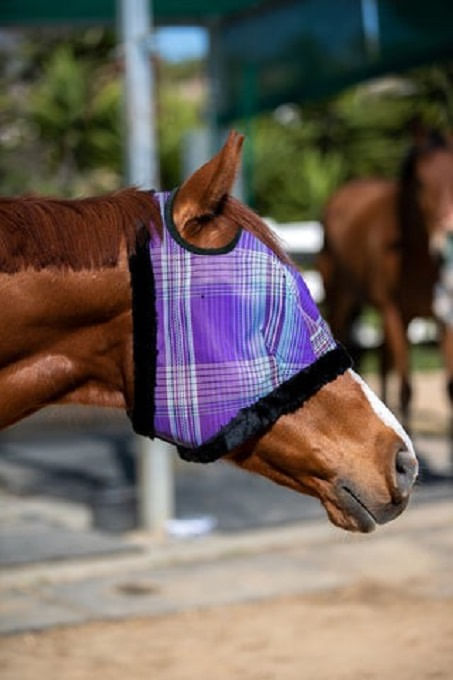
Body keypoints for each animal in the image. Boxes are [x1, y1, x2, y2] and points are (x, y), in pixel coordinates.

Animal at [318, 127, 452, 430]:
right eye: (419, 184)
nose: (445, 244)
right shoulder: (394, 313)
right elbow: (407, 388)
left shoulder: (444, 319)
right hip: (343, 301)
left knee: (382, 360)